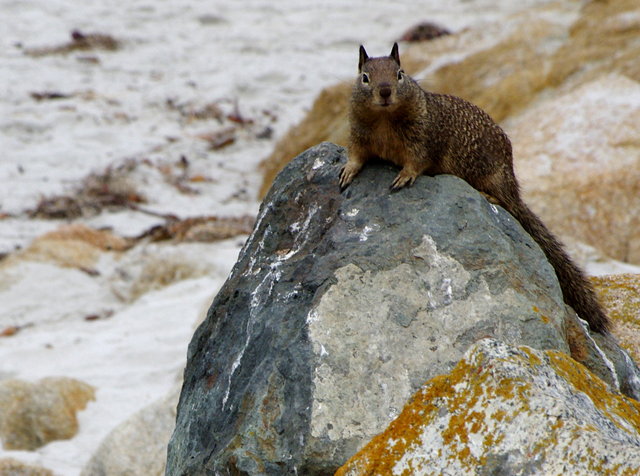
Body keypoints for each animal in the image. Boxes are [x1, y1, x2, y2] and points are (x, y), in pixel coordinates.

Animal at [340, 44, 608, 334]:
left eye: (399, 74)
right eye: (365, 77)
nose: (385, 91)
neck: (384, 118)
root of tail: (512, 183)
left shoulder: (423, 140)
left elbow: (417, 162)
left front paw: (404, 176)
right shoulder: (358, 135)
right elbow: (356, 156)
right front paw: (347, 171)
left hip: (495, 177)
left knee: (508, 204)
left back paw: (489, 196)